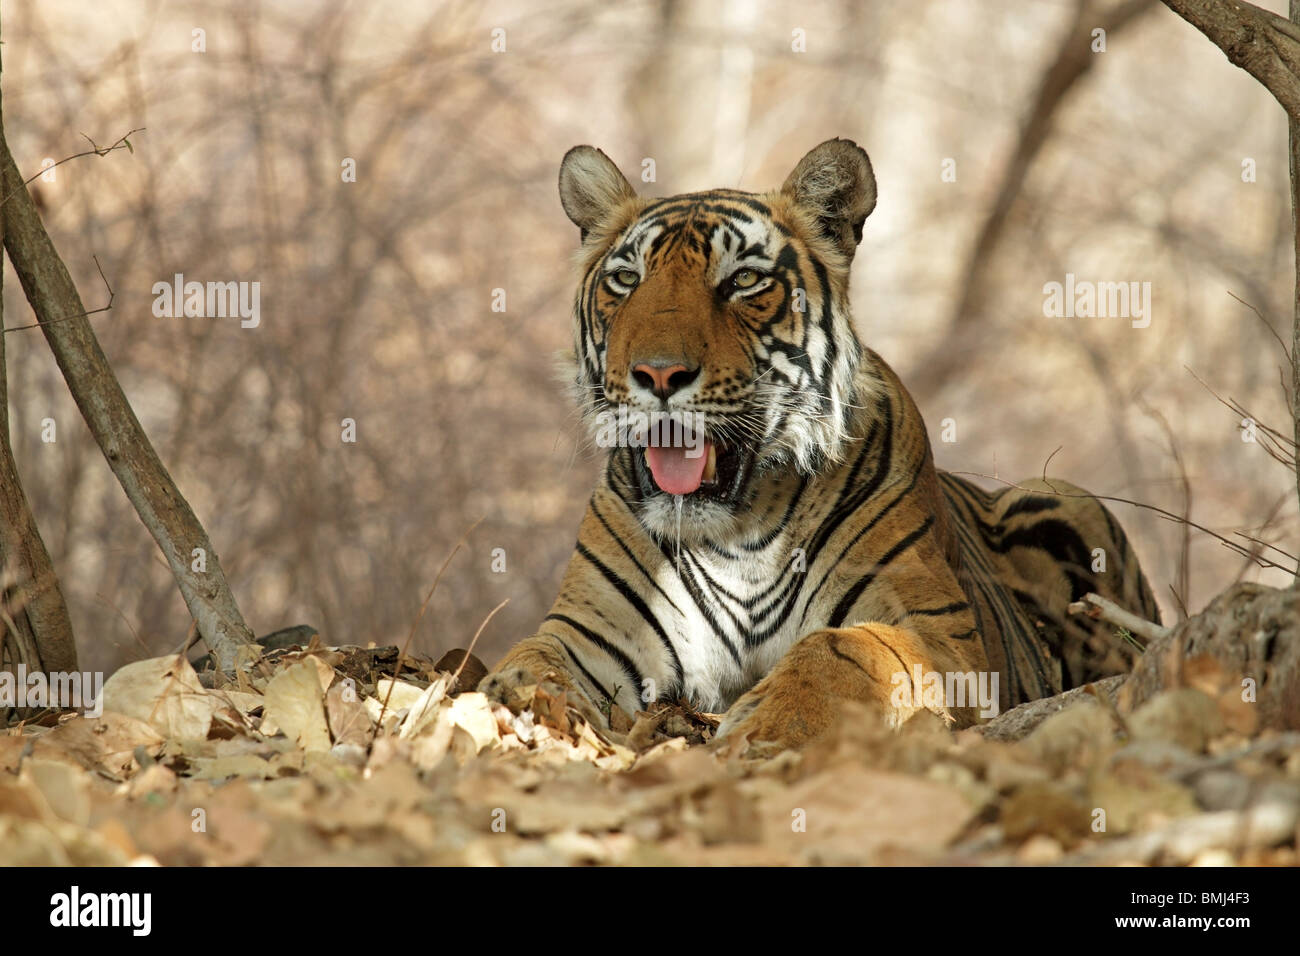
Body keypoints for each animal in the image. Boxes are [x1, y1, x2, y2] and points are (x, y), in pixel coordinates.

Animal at [480, 138, 1159, 749]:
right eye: (625, 280)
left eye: (743, 280)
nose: (659, 374)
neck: (737, 532)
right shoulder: (591, 633)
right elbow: (533, 655)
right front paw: (518, 706)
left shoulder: (940, 635)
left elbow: (849, 647)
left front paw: (768, 725)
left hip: (1063, 498)